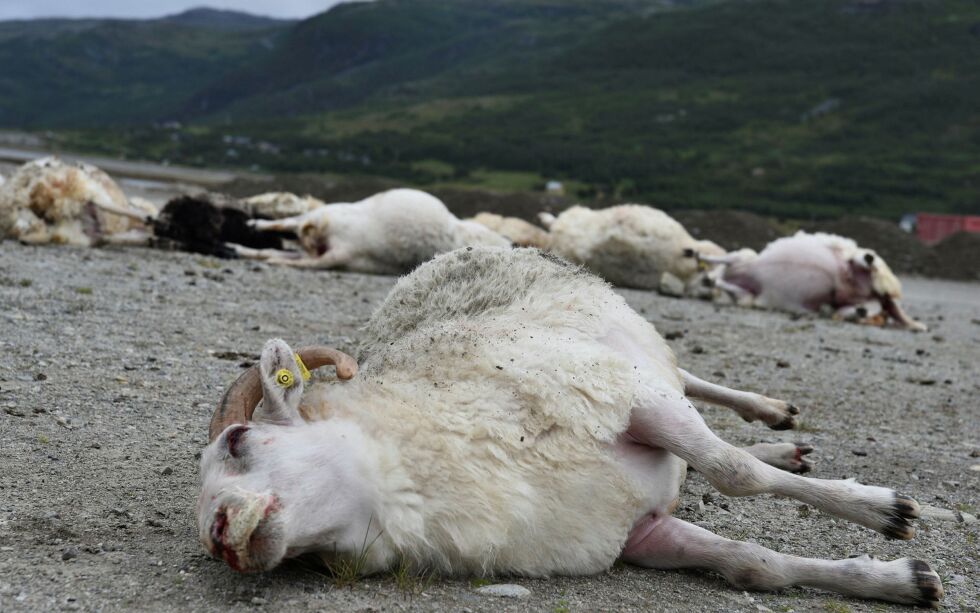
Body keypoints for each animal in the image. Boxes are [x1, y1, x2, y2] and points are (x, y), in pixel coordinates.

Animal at [197, 245, 940, 608]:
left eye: (239, 440)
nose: (221, 538)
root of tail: (439, 257)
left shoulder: (632, 398)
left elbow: (736, 473)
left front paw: (886, 512)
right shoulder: (636, 533)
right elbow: (753, 563)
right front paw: (899, 581)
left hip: (637, 350)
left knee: (696, 383)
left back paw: (773, 414)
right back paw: (784, 442)